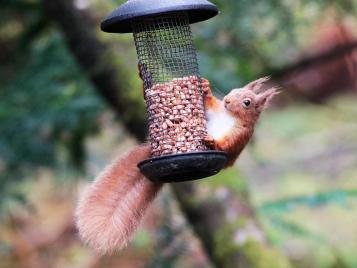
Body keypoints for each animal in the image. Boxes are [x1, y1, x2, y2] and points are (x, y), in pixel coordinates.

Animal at [76, 76, 278, 253]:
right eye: (233, 91)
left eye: (247, 102)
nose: (227, 100)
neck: (229, 116)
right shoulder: (216, 112)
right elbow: (210, 106)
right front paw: (205, 88)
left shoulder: (240, 136)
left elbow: (227, 145)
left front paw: (213, 141)